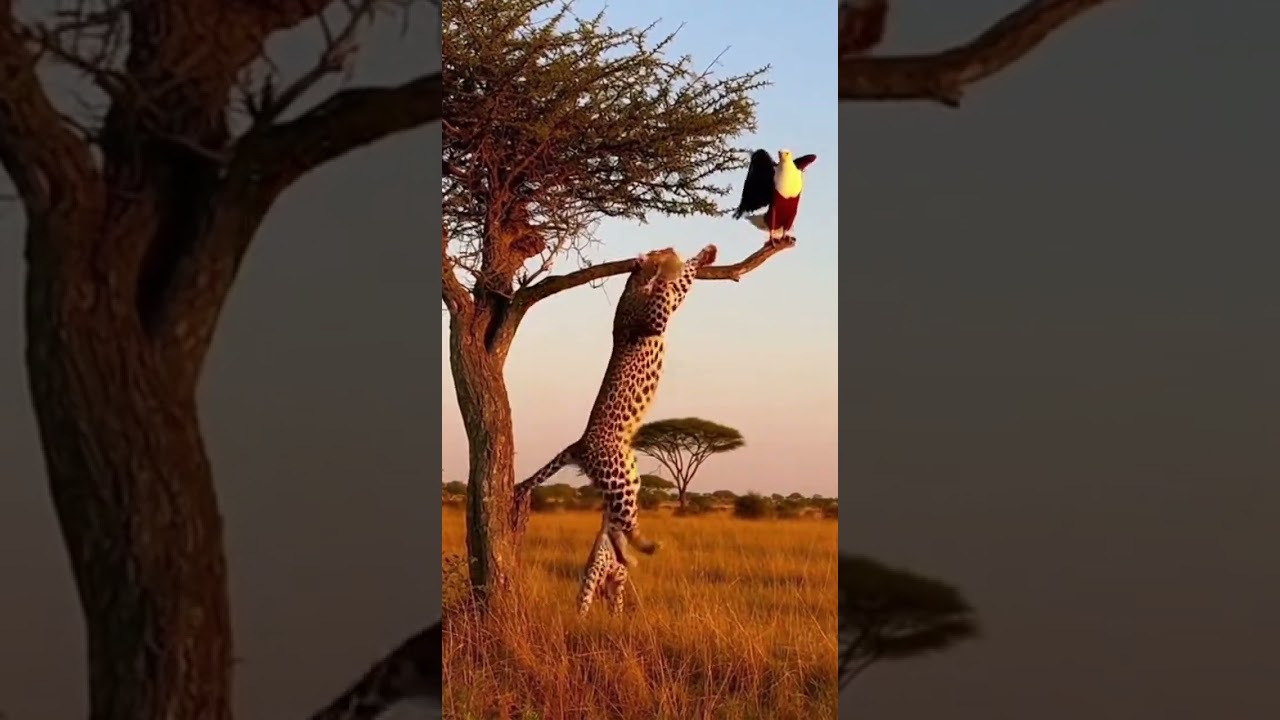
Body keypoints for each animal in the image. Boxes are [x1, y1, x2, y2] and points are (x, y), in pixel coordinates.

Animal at [513, 243, 718, 569]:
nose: (668, 247)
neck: (635, 285)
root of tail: (579, 444)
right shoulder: (656, 315)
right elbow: (671, 286)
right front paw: (672, 262)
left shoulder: (667, 304)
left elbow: (682, 283)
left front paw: (702, 255)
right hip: (617, 476)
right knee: (622, 521)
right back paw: (647, 547)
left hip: (628, 476)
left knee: (614, 522)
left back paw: (630, 556)